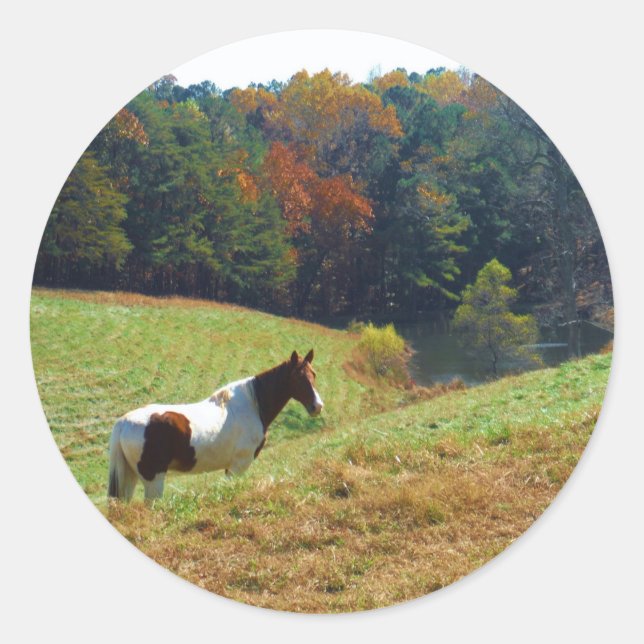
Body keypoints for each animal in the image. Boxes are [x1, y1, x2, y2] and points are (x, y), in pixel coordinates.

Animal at [108, 349, 323, 501]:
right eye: (297, 377)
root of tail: (124, 422)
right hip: (153, 480)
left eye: (313, 374)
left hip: (130, 477)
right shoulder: (238, 466)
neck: (252, 405)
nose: (317, 406)